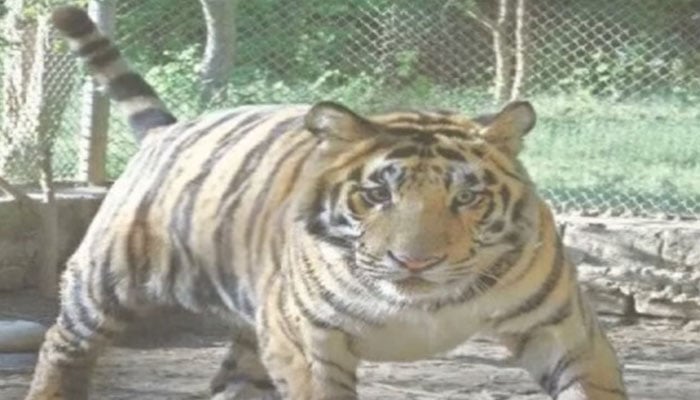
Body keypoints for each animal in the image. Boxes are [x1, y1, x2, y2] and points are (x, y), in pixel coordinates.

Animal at [27, 5, 628, 400]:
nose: (415, 263)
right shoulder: (310, 343)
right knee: (62, 342)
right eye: (377, 194)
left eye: (467, 197)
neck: (427, 305)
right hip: (107, 279)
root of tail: (168, 130)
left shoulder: (565, 332)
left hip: (253, 329)